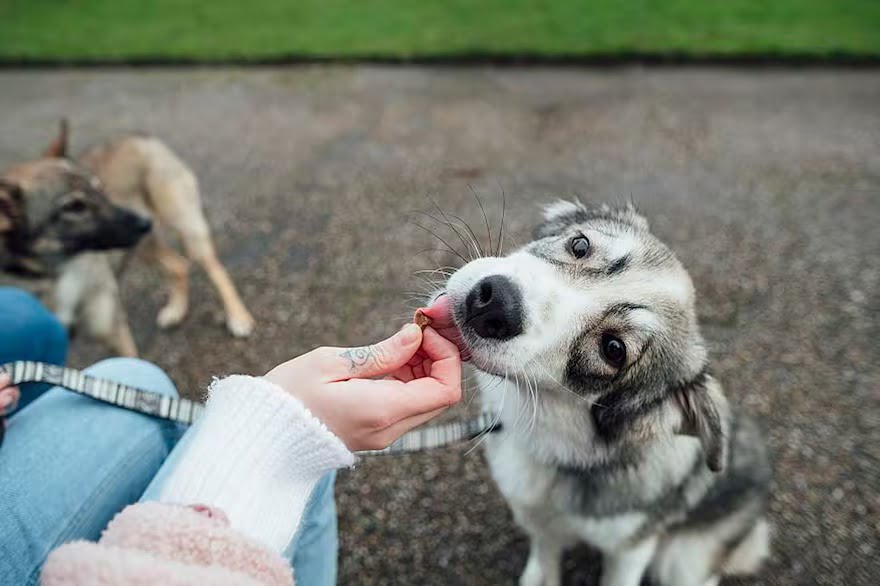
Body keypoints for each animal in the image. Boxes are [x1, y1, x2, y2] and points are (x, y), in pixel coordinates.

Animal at [26, 121, 251, 354]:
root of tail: (138, 136)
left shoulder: (110, 325)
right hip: (142, 244)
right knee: (178, 265)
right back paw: (176, 310)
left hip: (185, 225)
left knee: (215, 269)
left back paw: (238, 318)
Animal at [440, 198, 768, 580]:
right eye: (580, 245)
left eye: (613, 348)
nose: (493, 304)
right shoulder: (537, 518)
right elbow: (543, 559)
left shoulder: (632, 550)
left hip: (681, 559)